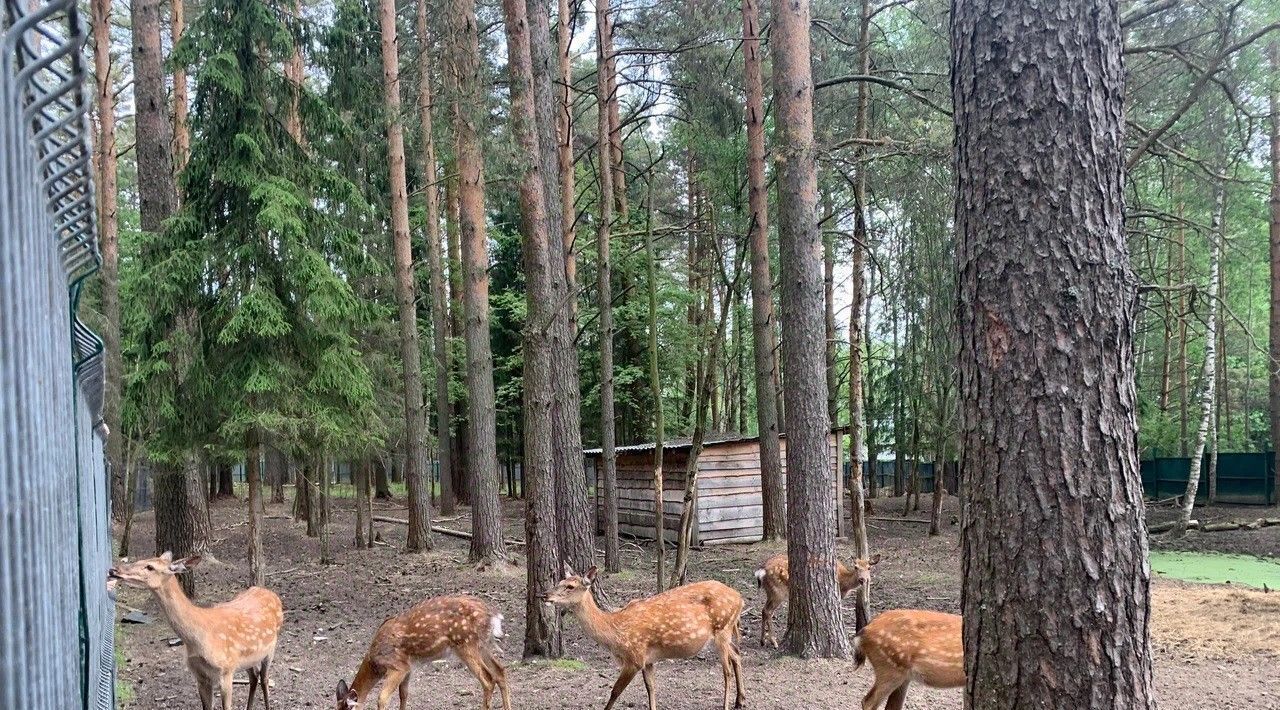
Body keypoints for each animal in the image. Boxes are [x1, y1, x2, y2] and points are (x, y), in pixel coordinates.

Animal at [108, 555, 284, 710]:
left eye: (150, 566)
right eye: (140, 560)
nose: (113, 570)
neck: (198, 639)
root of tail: (271, 593)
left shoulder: (226, 670)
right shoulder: (199, 674)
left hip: (270, 648)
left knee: (264, 678)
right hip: (249, 658)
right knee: (254, 676)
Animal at [337, 593, 512, 710]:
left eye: (345, 709)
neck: (375, 662)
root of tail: (493, 615)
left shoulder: (397, 665)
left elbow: (382, 698)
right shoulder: (408, 667)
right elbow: (403, 694)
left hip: (466, 643)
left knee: (488, 678)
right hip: (483, 645)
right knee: (500, 671)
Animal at [542, 568, 747, 710]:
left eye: (570, 586)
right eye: (560, 581)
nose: (544, 594)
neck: (614, 632)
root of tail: (740, 598)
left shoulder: (634, 657)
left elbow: (615, 691)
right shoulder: (648, 660)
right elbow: (651, 688)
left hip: (722, 629)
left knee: (727, 670)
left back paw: (727, 704)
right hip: (726, 632)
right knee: (737, 654)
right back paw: (740, 701)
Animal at [747, 552, 880, 647]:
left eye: (869, 567)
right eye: (856, 567)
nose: (862, 579)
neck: (844, 584)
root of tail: (761, 572)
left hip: (770, 591)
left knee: (763, 610)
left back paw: (762, 641)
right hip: (778, 591)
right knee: (769, 611)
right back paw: (774, 642)